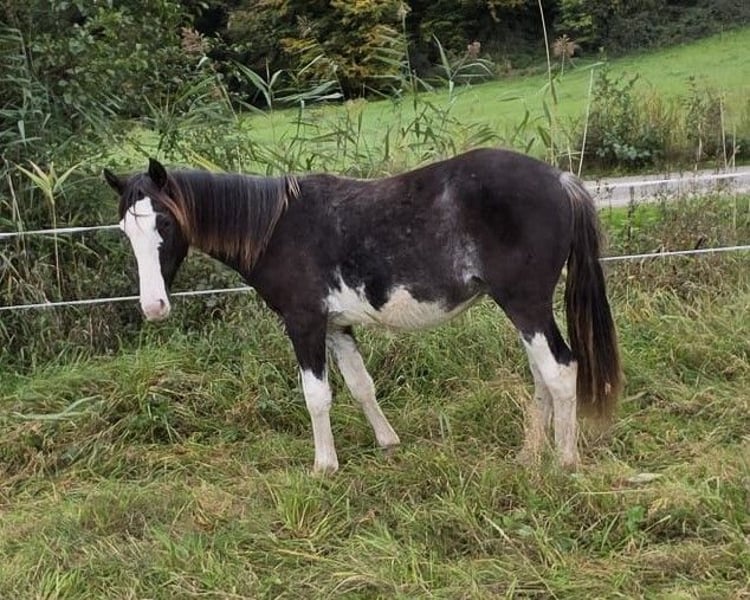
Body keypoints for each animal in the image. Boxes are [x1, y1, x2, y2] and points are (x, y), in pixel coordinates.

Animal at [104, 148, 622, 473]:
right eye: (125, 229)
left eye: (165, 221)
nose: (153, 307)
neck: (275, 228)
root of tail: (561, 180)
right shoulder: (337, 326)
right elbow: (360, 386)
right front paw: (388, 444)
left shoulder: (304, 324)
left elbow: (316, 395)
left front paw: (323, 467)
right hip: (523, 310)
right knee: (541, 376)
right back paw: (529, 457)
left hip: (526, 303)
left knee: (560, 370)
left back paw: (565, 463)